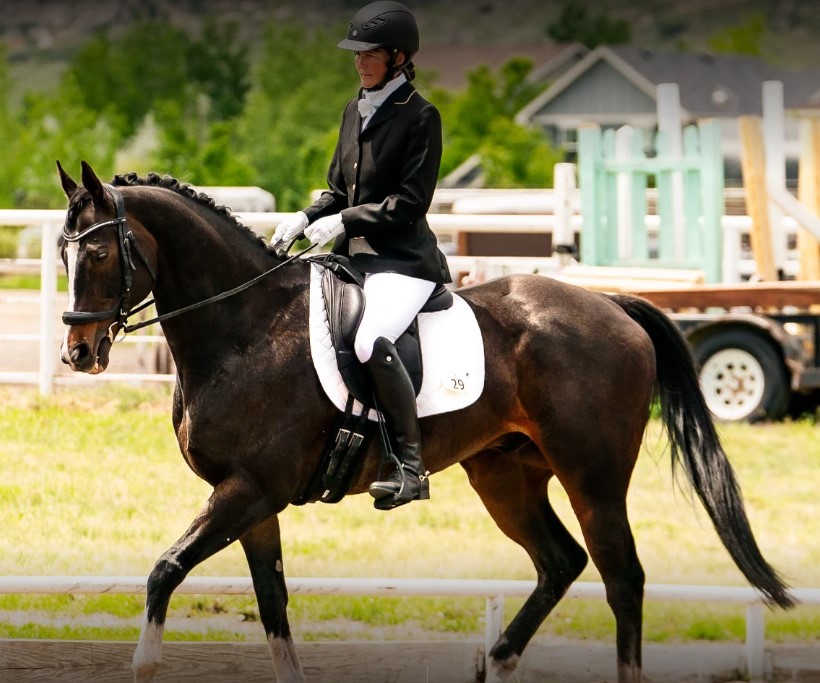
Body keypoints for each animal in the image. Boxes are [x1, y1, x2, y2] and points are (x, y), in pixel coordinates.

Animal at [56, 160, 794, 683]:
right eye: (62, 253)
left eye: (99, 254)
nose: (78, 353)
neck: (244, 327)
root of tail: (612, 304)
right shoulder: (250, 499)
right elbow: (272, 604)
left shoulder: (250, 490)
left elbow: (164, 569)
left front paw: (145, 664)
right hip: (505, 476)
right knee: (561, 563)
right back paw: (497, 661)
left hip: (594, 478)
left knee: (623, 579)